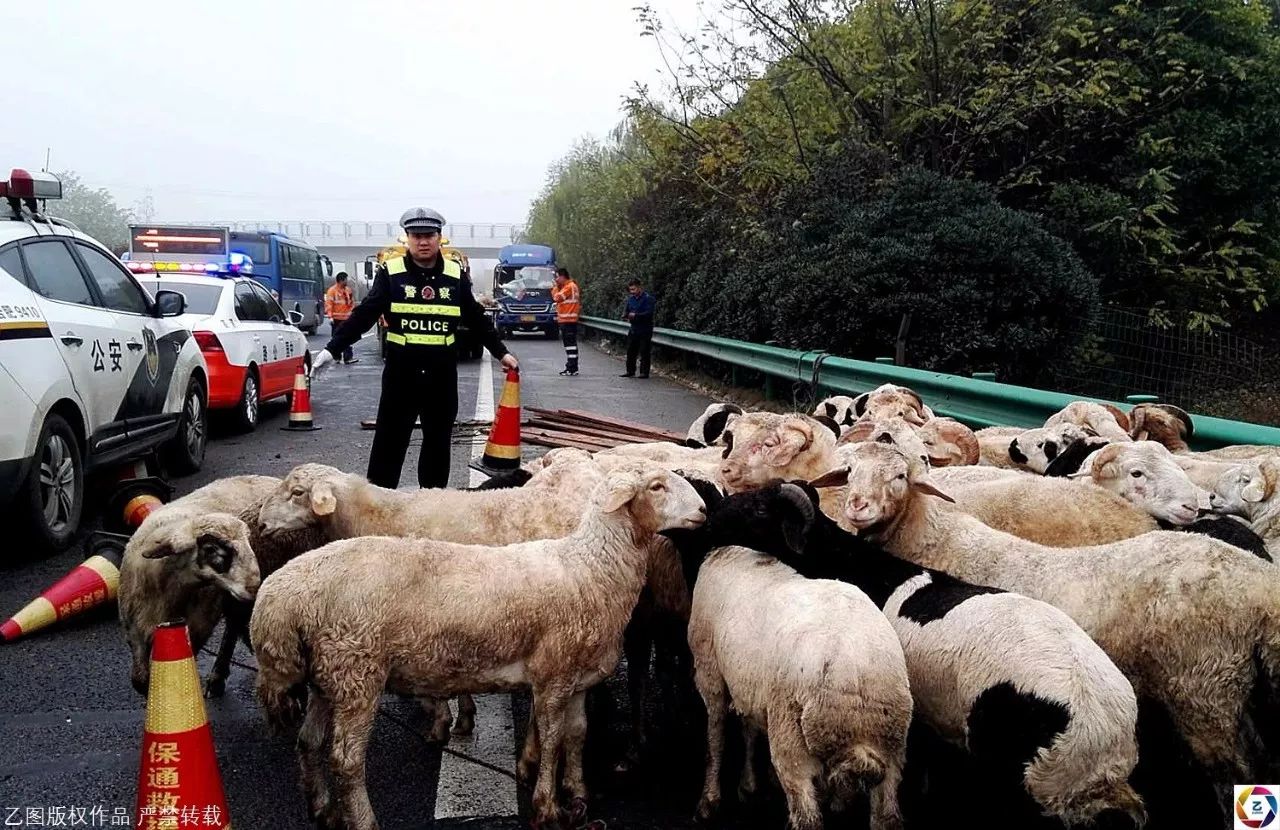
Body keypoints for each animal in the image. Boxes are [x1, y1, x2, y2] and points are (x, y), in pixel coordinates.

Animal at [249, 461, 711, 830]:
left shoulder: (578, 677)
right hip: (357, 673)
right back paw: (363, 820)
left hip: (328, 677)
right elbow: (553, 739)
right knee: (345, 760)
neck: (590, 565)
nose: (704, 510)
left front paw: (577, 795)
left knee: (308, 742)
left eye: (296, 493)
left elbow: (576, 735)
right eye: (657, 486)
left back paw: (322, 809)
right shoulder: (553, 676)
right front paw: (547, 807)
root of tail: (279, 599)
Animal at [814, 440, 1280, 814]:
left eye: (899, 477)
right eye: (850, 472)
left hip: (1203, 691)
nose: (858, 507)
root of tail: (1261, 588)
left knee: (1231, 776)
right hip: (1230, 689)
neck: (935, 535)